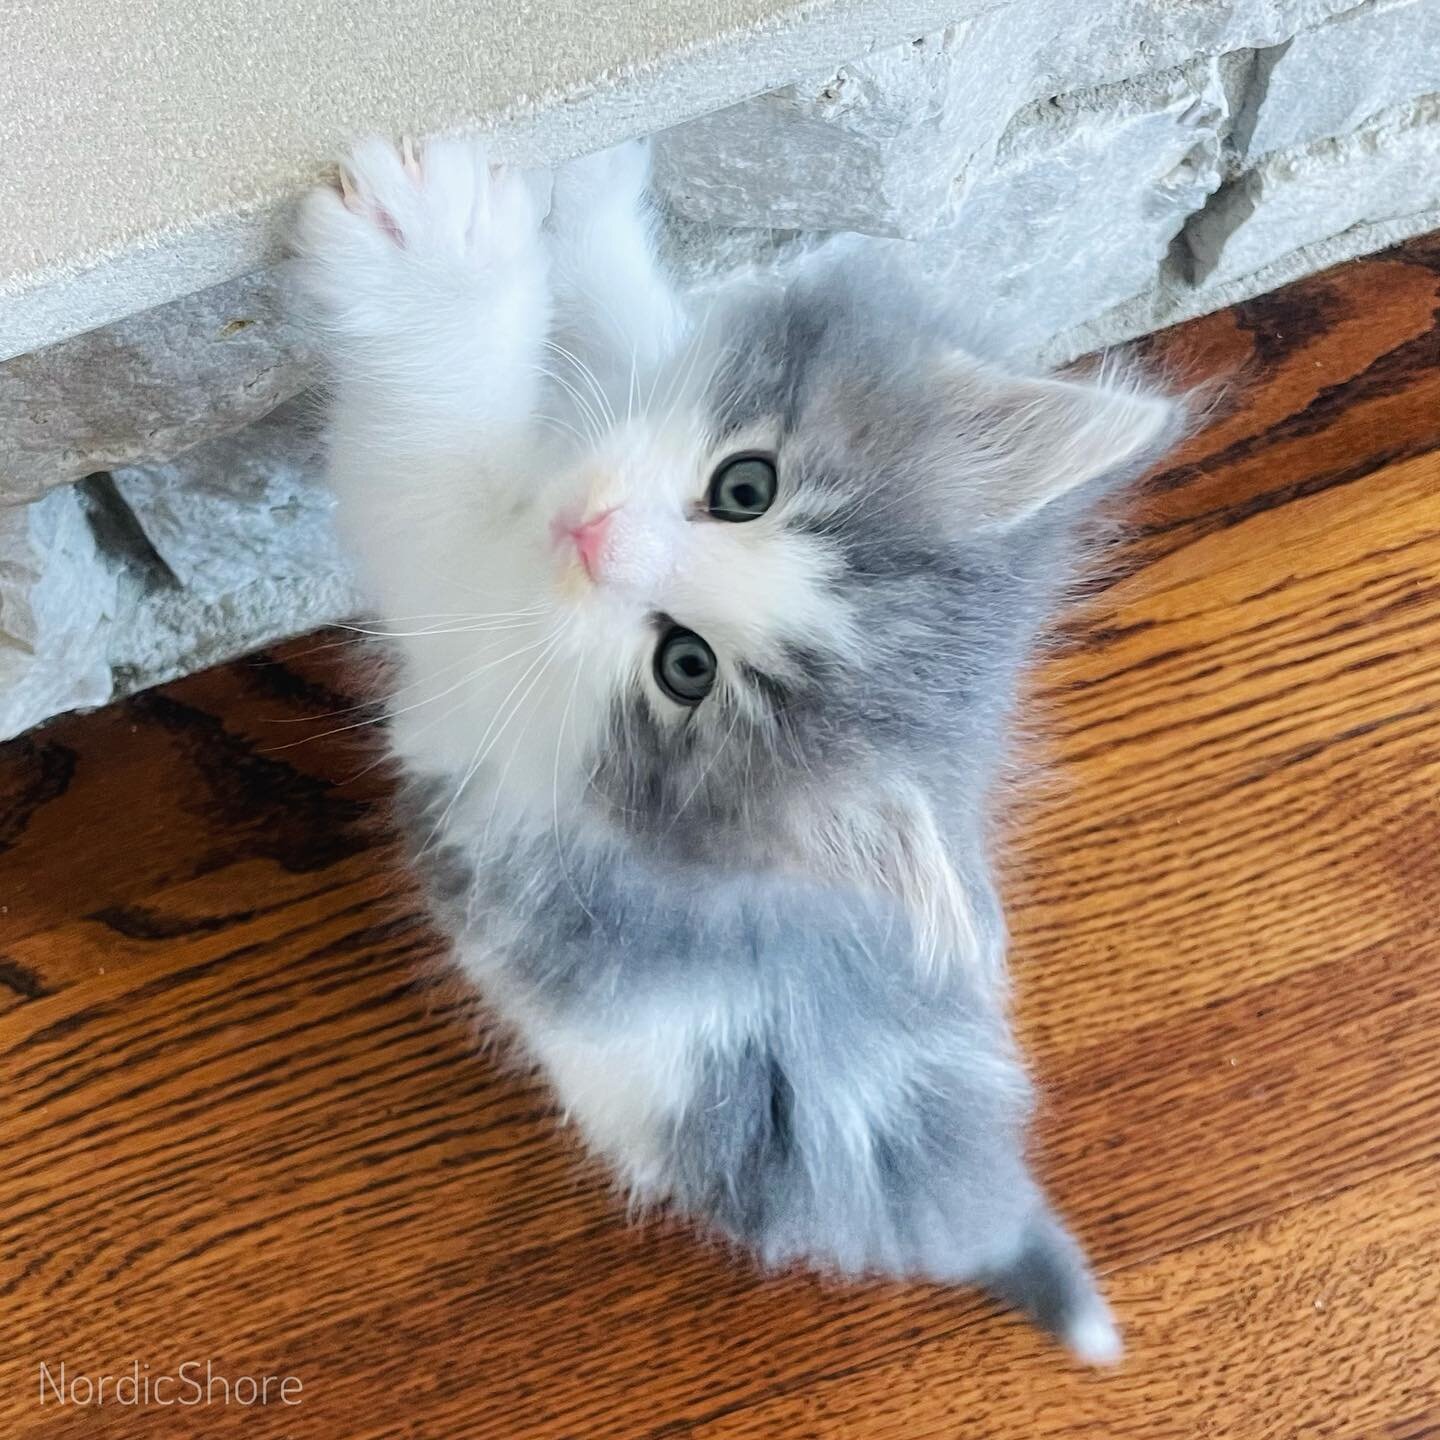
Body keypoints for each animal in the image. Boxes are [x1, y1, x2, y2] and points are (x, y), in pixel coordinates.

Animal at [295, 135, 1180, 1359]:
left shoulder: (467, 621)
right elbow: (633, 333)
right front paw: (597, 200)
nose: (594, 537)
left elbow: (431, 459)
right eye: (746, 485)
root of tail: (988, 1203)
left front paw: (441, 259)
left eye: (686, 667)